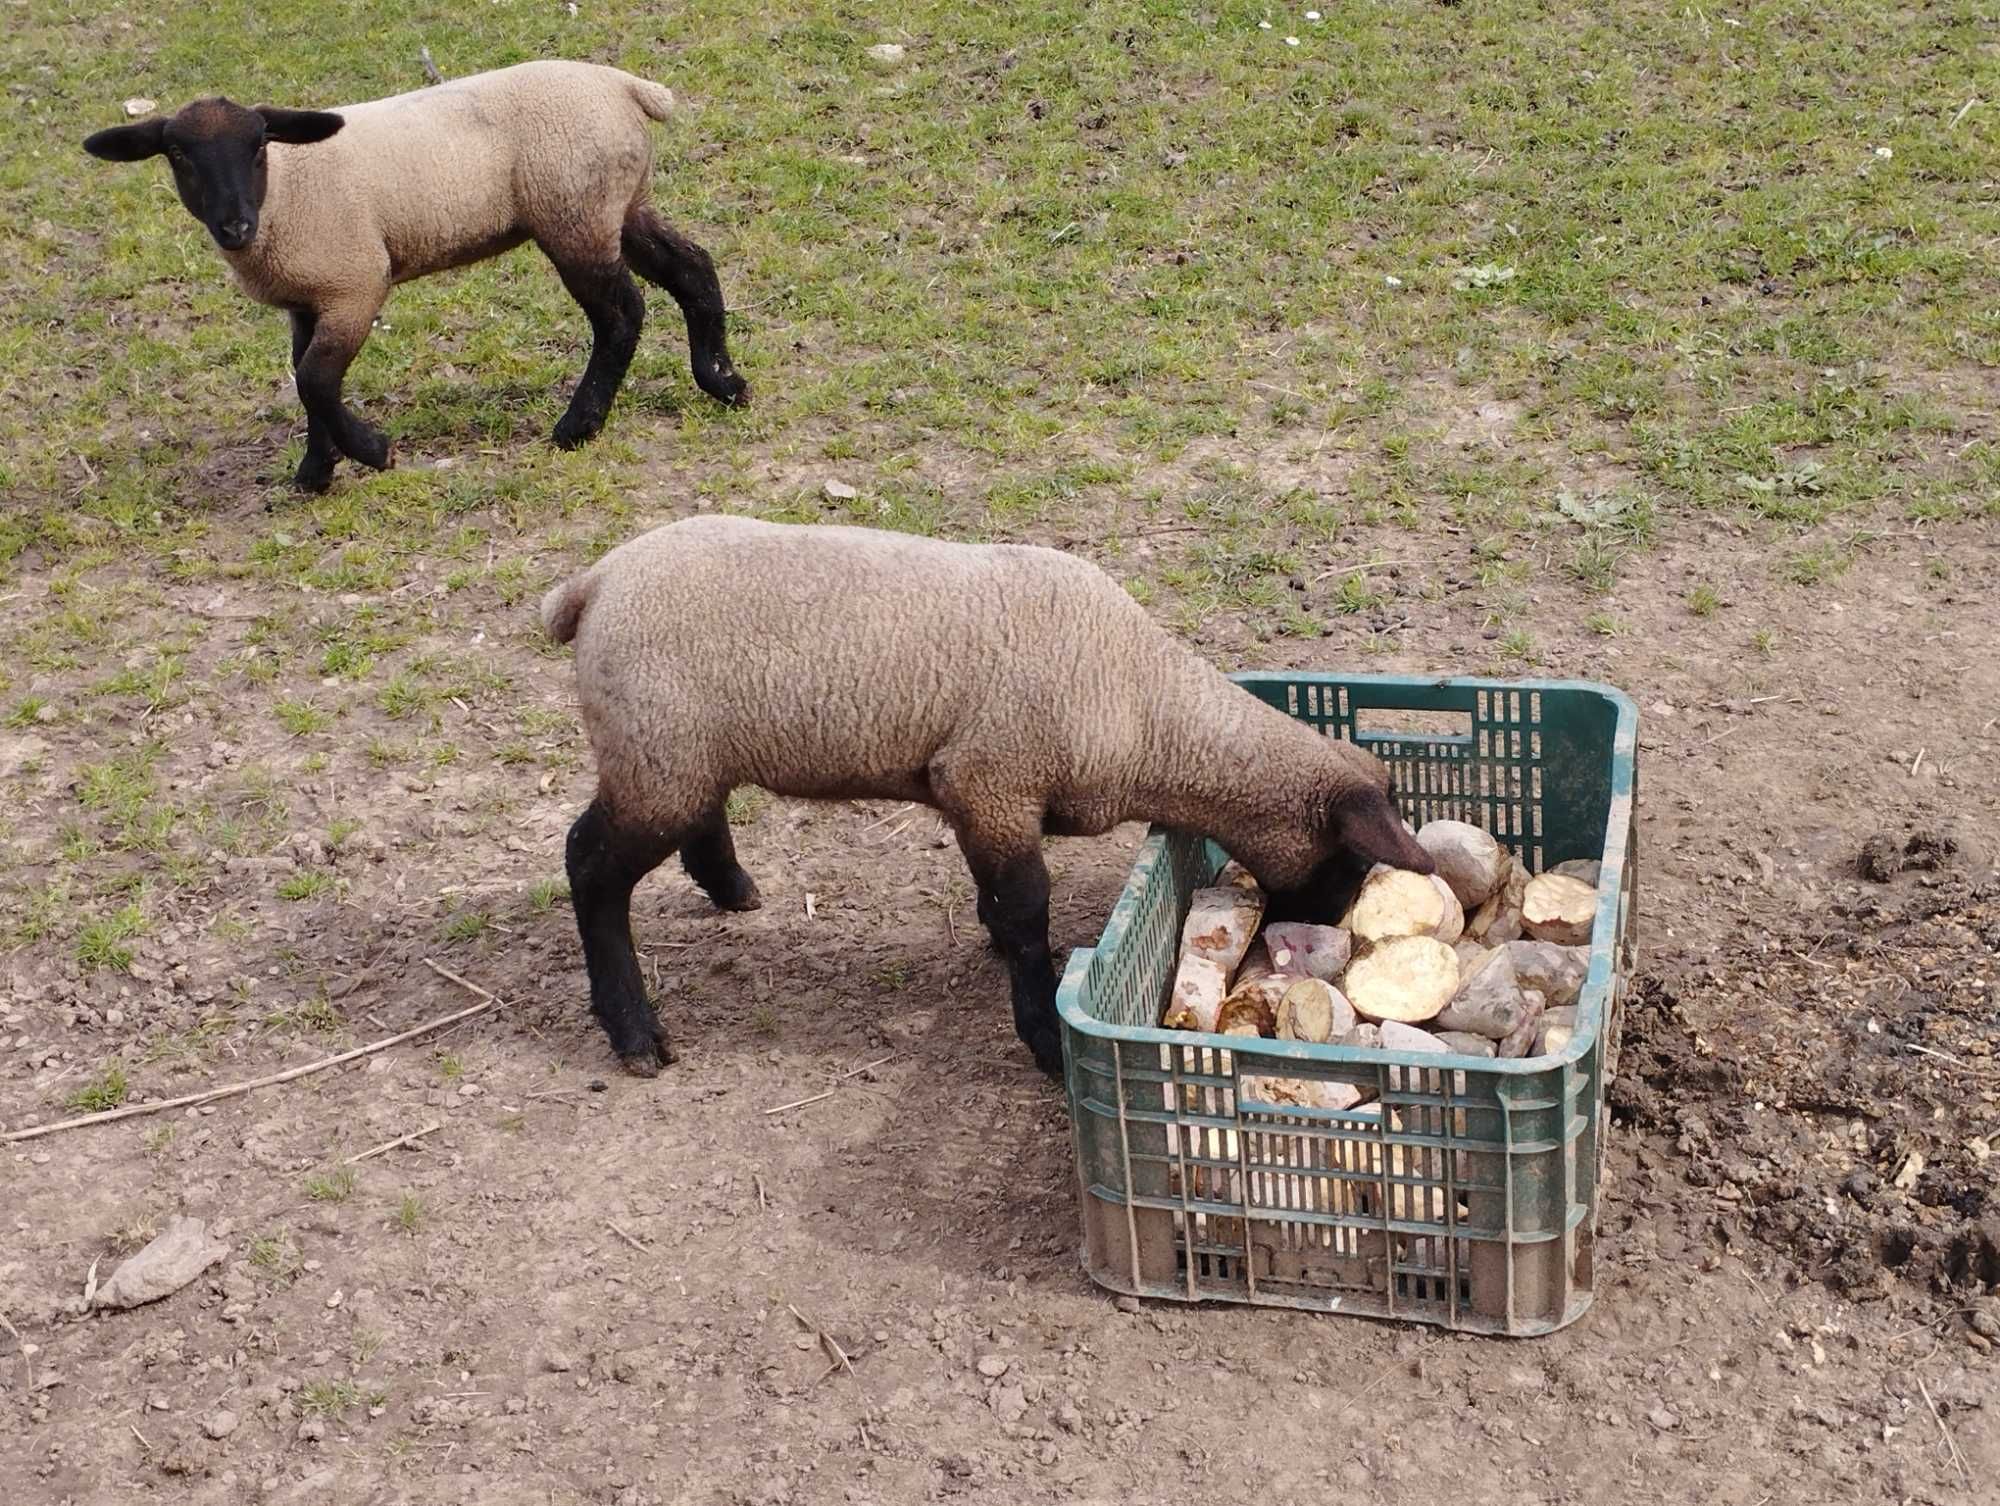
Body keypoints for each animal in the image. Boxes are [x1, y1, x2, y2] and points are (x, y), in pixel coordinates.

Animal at [78, 60, 752, 494]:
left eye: (259, 146)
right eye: (179, 155)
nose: (235, 226)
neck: (286, 193)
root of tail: (625, 87)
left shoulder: (355, 285)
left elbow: (315, 380)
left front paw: (372, 452)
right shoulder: (308, 301)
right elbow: (304, 377)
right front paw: (316, 471)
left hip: (573, 214)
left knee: (621, 315)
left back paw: (577, 426)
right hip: (619, 202)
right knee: (692, 267)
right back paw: (723, 381)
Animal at [540, 516, 1432, 1080]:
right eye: (1350, 864)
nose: (1312, 944)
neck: (1148, 710)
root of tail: (592, 584)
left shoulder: (973, 792)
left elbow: (999, 896)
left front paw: (998, 947)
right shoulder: (994, 779)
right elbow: (1027, 904)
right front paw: (1041, 1034)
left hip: (681, 751)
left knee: (696, 816)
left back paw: (731, 888)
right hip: (655, 752)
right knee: (588, 865)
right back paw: (633, 1029)